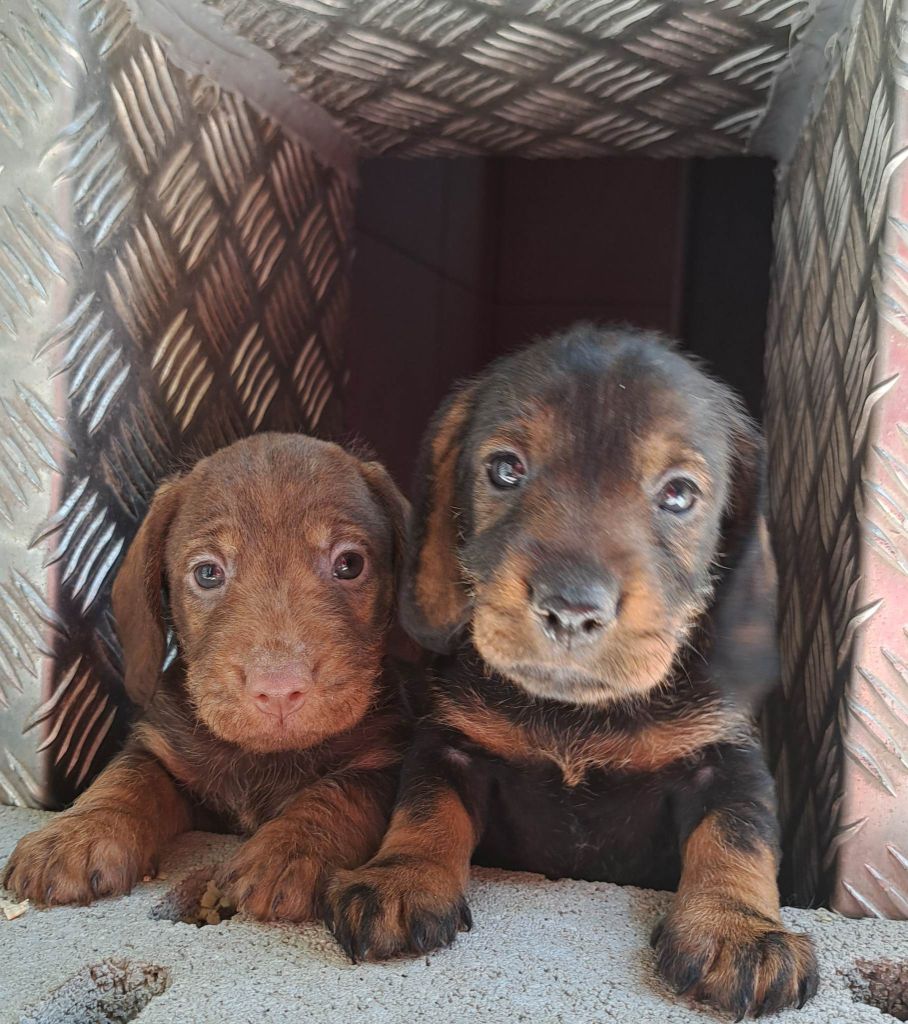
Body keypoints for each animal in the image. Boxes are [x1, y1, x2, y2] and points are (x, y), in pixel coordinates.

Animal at [3, 432, 407, 921]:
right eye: (208, 573)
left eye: (349, 564)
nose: (278, 691)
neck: (262, 756)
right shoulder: (160, 749)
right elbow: (126, 778)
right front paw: (77, 835)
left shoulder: (382, 763)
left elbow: (339, 793)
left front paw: (292, 848)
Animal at [327, 325, 823, 1015]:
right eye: (505, 468)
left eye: (679, 493)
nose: (570, 608)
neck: (579, 712)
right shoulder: (452, 743)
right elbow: (427, 807)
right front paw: (401, 878)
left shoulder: (725, 760)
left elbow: (738, 834)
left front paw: (737, 929)